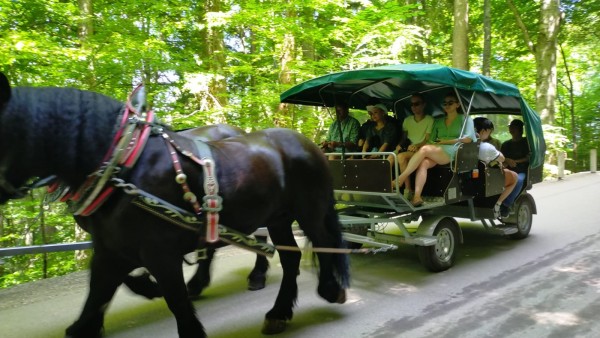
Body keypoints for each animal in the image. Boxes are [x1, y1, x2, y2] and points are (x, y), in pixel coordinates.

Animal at [0, 74, 350, 338]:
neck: (122, 166)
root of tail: (306, 143)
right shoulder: (109, 252)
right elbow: (96, 298)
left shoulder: (160, 254)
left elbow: (177, 303)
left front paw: (154, 289)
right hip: (277, 217)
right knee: (290, 258)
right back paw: (277, 311)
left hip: (309, 212)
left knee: (323, 243)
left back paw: (327, 288)